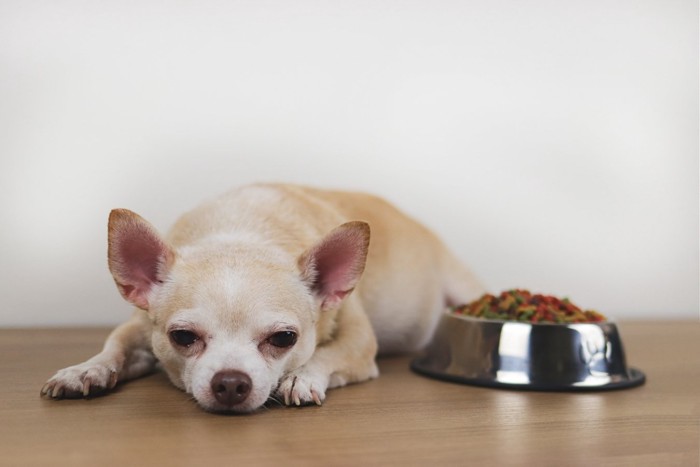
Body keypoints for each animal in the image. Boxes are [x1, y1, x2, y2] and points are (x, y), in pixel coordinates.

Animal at [41, 184, 484, 414]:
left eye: (284, 338)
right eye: (182, 337)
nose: (230, 382)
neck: (243, 231)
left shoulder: (360, 344)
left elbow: (328, 353)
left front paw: (302, 377)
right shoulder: (139, 325)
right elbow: (114, 345)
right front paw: (86, 370)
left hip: (464, 286)